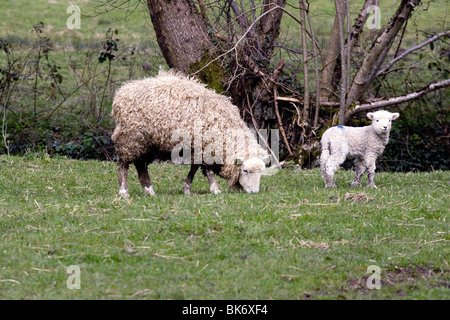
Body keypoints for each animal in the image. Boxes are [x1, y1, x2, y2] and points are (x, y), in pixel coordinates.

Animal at [110, 69, 268, 198]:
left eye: (261, 172)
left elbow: (194, 168)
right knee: (124, 164)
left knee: (141, 165)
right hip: (130, 138)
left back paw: (150, 191)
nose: (254, 192)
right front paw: (215, 189)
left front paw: (187, 189)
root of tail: (120, 95)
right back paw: (124, 192)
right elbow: (207, 170)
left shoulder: (196, 149)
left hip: (146, 143)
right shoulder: (204, 147)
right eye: (245, 170)